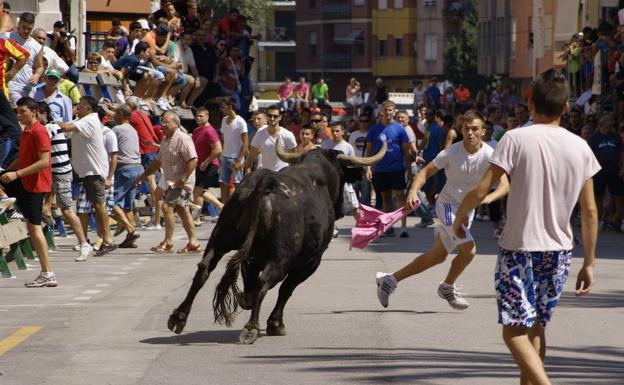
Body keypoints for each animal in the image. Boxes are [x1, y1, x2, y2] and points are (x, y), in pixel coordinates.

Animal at [168, 140, 388, 342]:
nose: (342, 208)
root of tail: (267, 182)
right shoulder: (310, 262)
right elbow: (286, 289)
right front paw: (275, 324)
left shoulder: (253, 257)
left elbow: (252, 284)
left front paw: (246, 300)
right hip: (281, 257)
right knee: (266, 282)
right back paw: (251, 327)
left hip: (220, 238)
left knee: (204, 269)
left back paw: (179, 317)